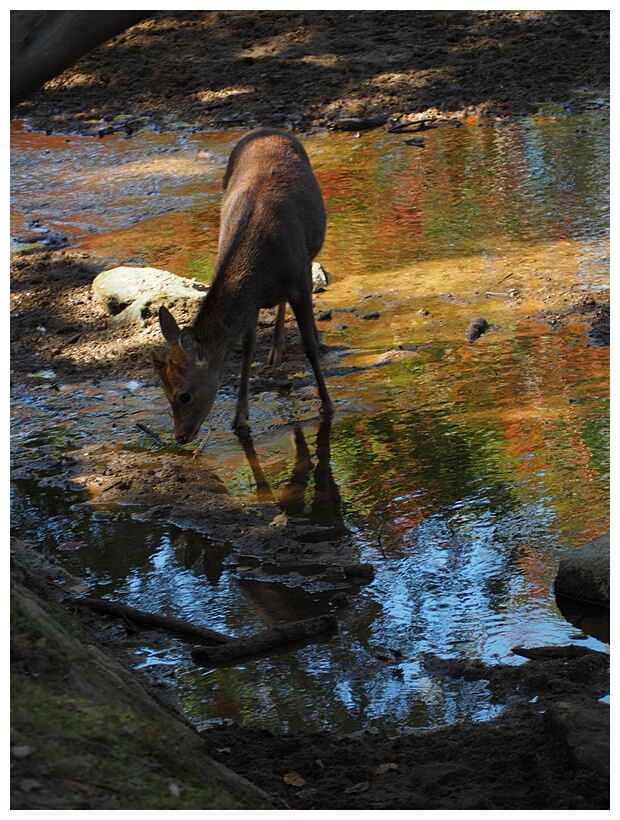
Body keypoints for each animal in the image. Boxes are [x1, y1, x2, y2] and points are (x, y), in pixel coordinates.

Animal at [152, 129, 334, 446]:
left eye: (184, 396)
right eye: (164, 392)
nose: (180, 436)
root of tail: (268, 130)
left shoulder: (300, 278)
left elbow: (308, 347)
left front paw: (327, 403)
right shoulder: (252, 299)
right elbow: (247, 349)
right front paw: (239, 417)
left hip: (309, 252)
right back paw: (276, 350)